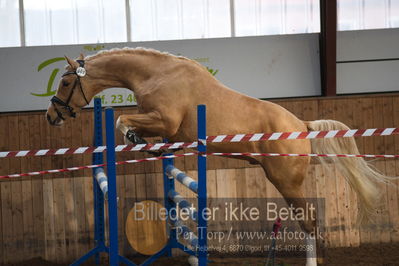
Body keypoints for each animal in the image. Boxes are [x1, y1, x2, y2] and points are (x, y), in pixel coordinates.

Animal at [47, 47, 394, 266]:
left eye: (66, 81)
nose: (52, 116)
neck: (156, 74)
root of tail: (301, 126)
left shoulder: (165, 121)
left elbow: (122, 120)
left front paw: (135, 139)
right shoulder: (171, 130)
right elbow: (144, 134)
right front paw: (151, 147)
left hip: (286, 182)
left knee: (308, 221)